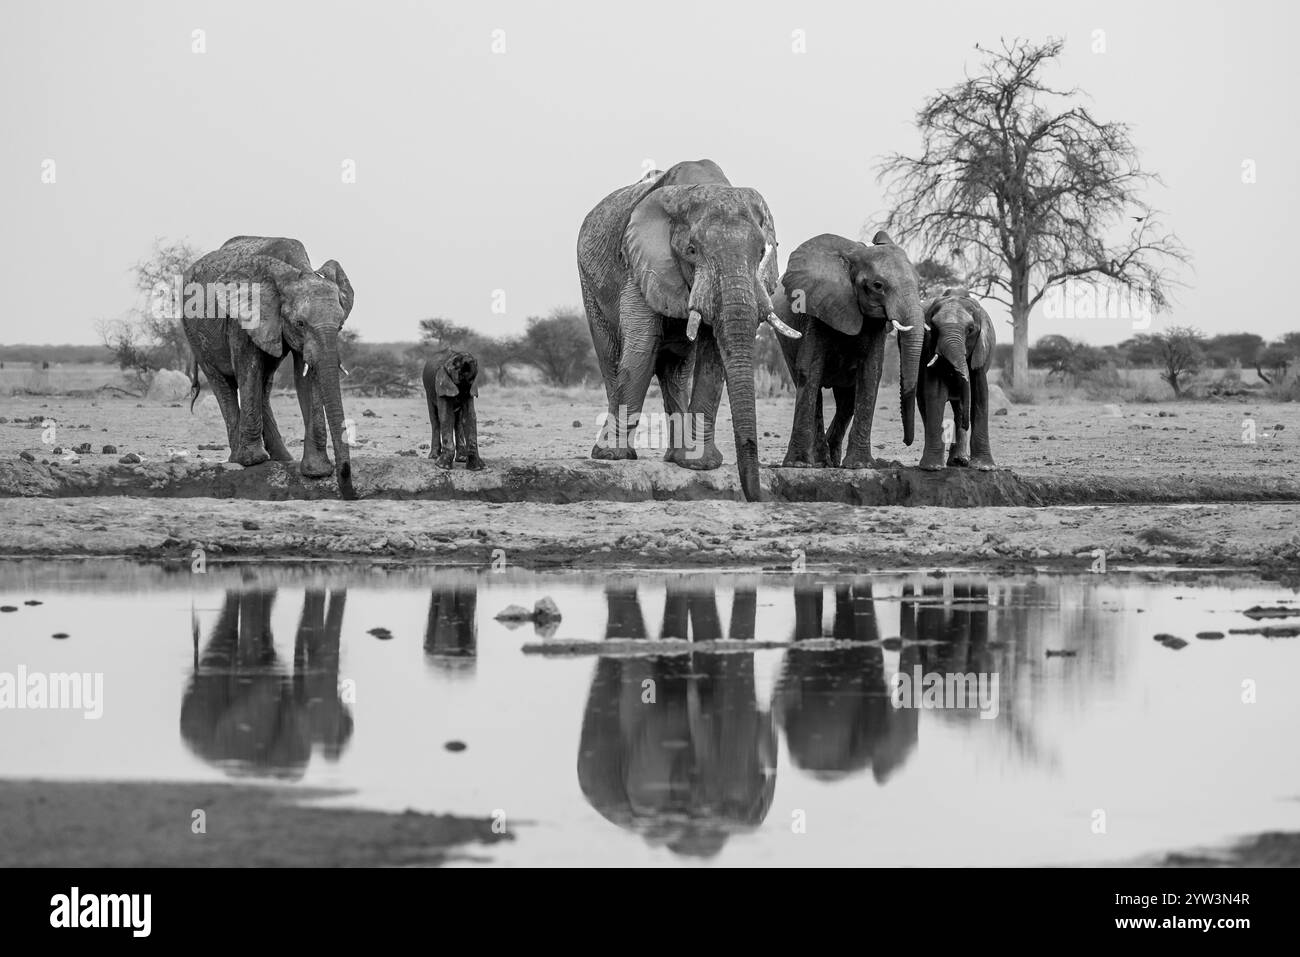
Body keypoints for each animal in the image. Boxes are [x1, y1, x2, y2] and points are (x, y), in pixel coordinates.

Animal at [183, 237, 356, 501]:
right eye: (300, 323)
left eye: (340, 326)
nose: (350, 493)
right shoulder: (243, 318)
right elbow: (249, 365)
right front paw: (252, 461)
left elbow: (307, 376)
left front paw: (316, 472)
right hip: (193, 331)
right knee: (223, 382)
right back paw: (240, 458)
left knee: (264, 382)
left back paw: (282, 459)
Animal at [579, 158, 800, 501]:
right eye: (692, 250)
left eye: (763, 253)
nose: (756, 498)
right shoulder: (641, 264)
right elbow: (642, 346)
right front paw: (613, 457)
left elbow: (713, 355)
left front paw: (700, 465)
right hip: (590, 284)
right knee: (611, 357)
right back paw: (612, 453)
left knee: (677, 370)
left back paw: (675, 457)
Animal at [769, 234, 925, 468]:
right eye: (877, 285)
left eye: (918, 282)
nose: (907, 441)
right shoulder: (817, 309)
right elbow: (810, 370)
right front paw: (797, 464)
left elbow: (870, 373)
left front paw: (859, 466)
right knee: (815, 393)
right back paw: (821, 462)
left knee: (846, 402)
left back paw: (832, 461)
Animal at [920, 289, 998, 473]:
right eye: (934, 328)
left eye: (970, 329)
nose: (966, 423)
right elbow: (935, 392)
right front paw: (931, 467)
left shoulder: (980, 351)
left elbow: (979, 395)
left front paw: (985, 467)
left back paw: (959, 461)